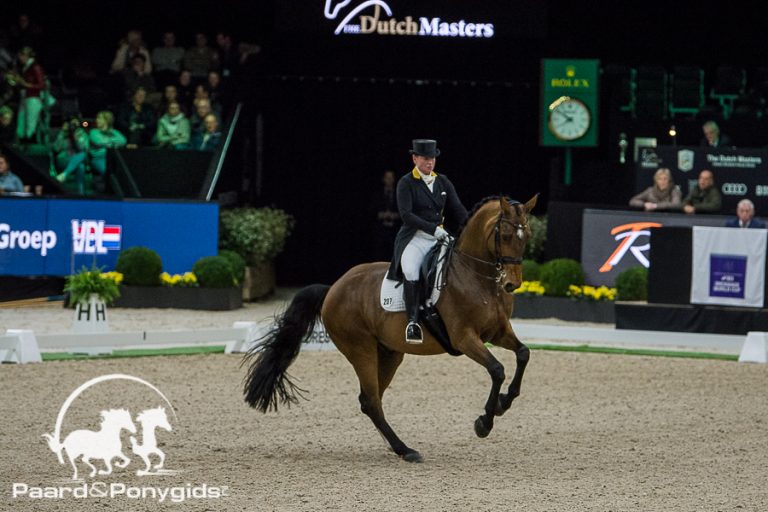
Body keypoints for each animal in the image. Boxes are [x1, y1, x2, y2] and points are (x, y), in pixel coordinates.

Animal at [243, 194, 536, 462]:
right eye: (506, 235)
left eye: (527, 236)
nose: (511, 284)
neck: (476, 277)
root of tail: (333, 288)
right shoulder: (464, 338)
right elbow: (497, 369)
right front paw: (484, 422)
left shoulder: (497, 332)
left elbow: (523, 354)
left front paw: (503, 403)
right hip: (361, 350)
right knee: (371, 401)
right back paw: (406, 450)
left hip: (389, 353)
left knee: (372, 400)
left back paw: (396, 447)